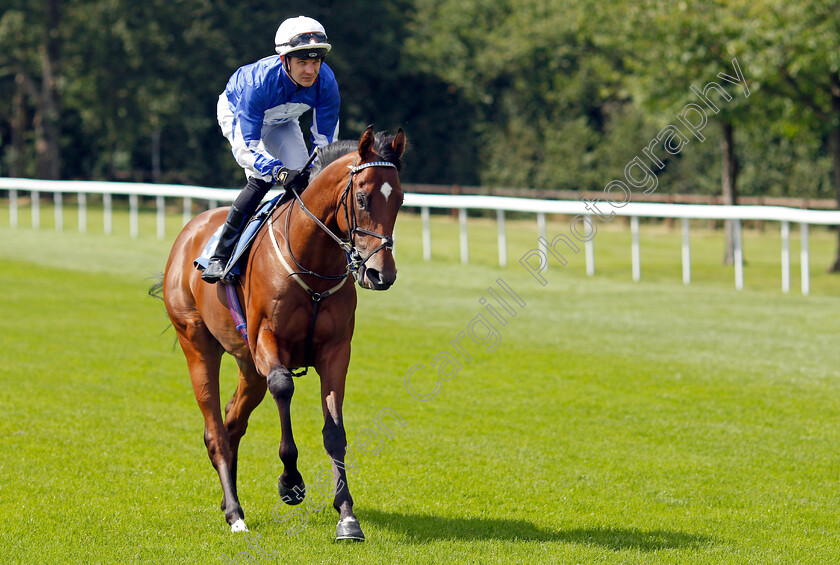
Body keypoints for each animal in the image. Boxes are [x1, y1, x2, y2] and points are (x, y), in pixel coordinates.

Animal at [162, 126, 406, 536]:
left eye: (400, 199)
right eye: (361, 198)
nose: (380, 273)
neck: (313, 263)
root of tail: (188, 233)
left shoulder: (336, 351)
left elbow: (334, 431)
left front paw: (347, 515)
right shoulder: (266, 341)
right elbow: (283, 388)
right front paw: (290, 482)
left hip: (247, 365)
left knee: (233, 423)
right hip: (196, 342)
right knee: (215, 430)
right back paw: (235, 513)